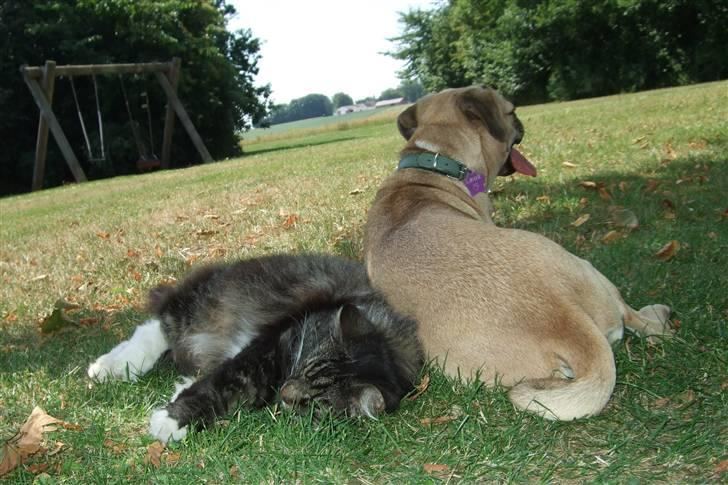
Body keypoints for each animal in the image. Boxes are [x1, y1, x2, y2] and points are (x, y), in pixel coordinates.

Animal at [88, 253, 424, 442]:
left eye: (317, 403)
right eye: (307, 360)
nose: (286, 393)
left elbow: (226, 387)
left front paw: (177, 403)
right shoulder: (268, 347)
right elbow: (223, 384)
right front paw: (170, 422)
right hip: (198, 309)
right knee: (154, 328)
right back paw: (109, 367)